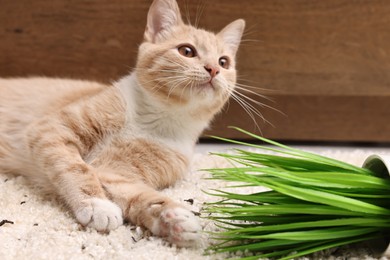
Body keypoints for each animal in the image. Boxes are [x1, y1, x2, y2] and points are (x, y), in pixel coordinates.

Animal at [0, 0, 244, 247]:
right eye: (187, 51)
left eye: (224, 62)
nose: (213, 69)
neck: (152, 120)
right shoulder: (51, 129)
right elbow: (76, 167)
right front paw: (97, 205)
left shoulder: (115, 174)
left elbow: (138, 196)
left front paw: (173, 219)